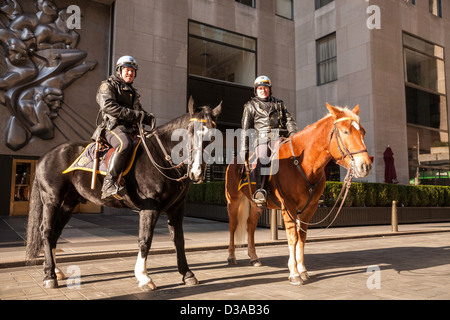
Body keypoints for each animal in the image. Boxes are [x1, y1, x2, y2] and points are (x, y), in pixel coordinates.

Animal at [227, 102, 370, 284]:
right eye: (345, 131)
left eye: (363, 132)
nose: (365, 165)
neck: (303, 163)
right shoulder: (288, 206)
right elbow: (293, 237)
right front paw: (294, 273)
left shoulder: (309, 208)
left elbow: (302, 237)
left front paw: (302, 270)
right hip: (233, 200)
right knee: (233, 226)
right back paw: (231, 256)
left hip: (256, 204)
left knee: (250, 225)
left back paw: (254, 258)